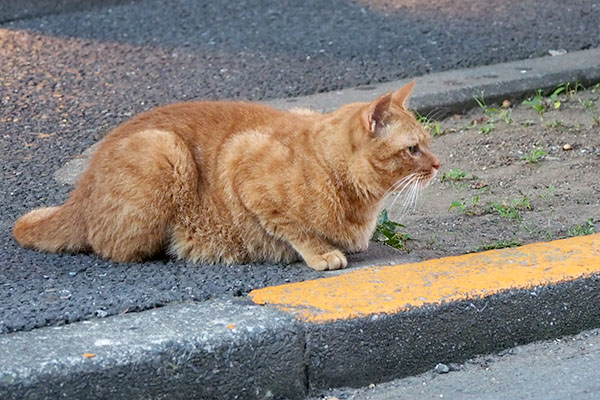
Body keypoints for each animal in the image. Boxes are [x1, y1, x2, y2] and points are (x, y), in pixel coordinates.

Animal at [11, 80, 438, 272]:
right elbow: (294, 227)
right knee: (112, 247)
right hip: (163, 150)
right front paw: (321, 252)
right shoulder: (243, 164)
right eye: (412, 149)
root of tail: (78, 193)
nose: (436, 165)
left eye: (428, 143)